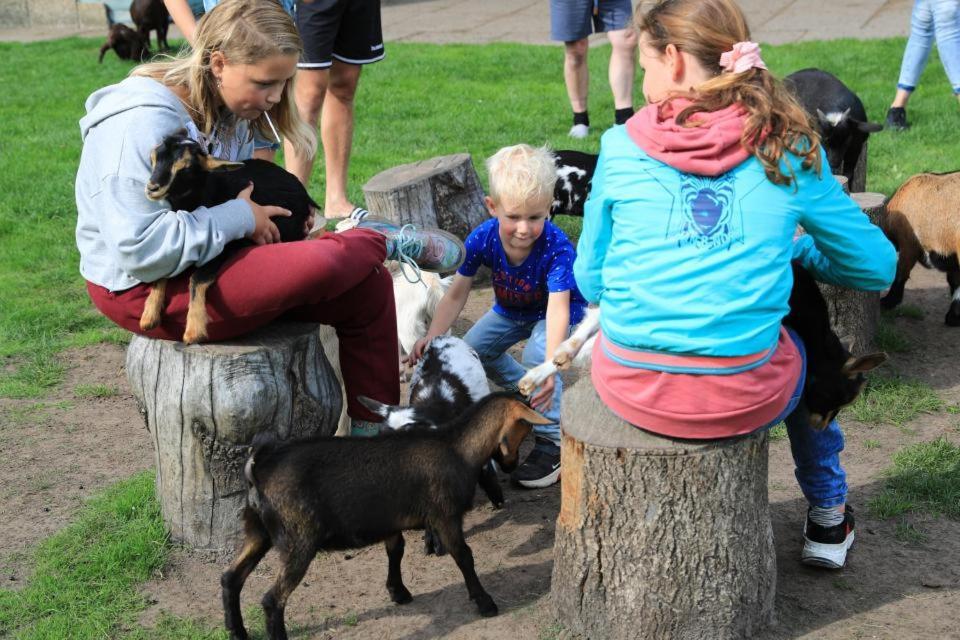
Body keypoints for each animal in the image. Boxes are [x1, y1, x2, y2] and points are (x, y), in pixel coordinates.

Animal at [142, 129, 316, 344]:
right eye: (153, 157)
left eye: (186, 168)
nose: (152, 187)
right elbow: (162, 271)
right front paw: (148, 317)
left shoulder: (223, 247)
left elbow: (198, 277)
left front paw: (194, 330)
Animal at [218, 392, 548, 636]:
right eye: (527, 426)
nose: (510, 466)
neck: (457, 447)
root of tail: (260, 467)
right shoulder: (445, 515)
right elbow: (463, 555)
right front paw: (485, 603)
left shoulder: (391, 518)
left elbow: (396, 550)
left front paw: (398, 592)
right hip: (298, 538)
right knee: (272, 600)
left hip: (256, 531)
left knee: (230, 578)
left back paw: (237, 632)